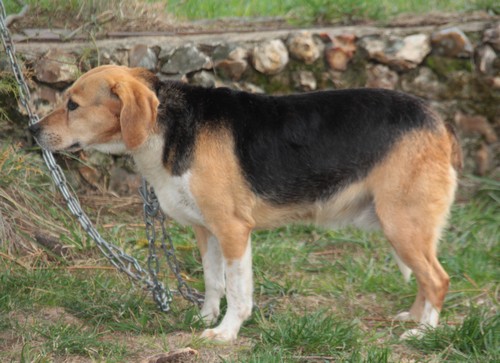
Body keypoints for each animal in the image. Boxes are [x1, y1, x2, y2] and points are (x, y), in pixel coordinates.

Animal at [30, 65, 460, 342]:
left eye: (73, 105)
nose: (31, 130)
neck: (169, 125)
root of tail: (438, 119)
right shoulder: (207, 231)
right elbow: (213, 281)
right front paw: (203, 317)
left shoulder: (234, 230)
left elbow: (237, 290)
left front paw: (225, 332)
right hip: (405, 228)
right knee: (426, 278)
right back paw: (414, 317)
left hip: (401, 223)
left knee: (438, 278)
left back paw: (422, 332)